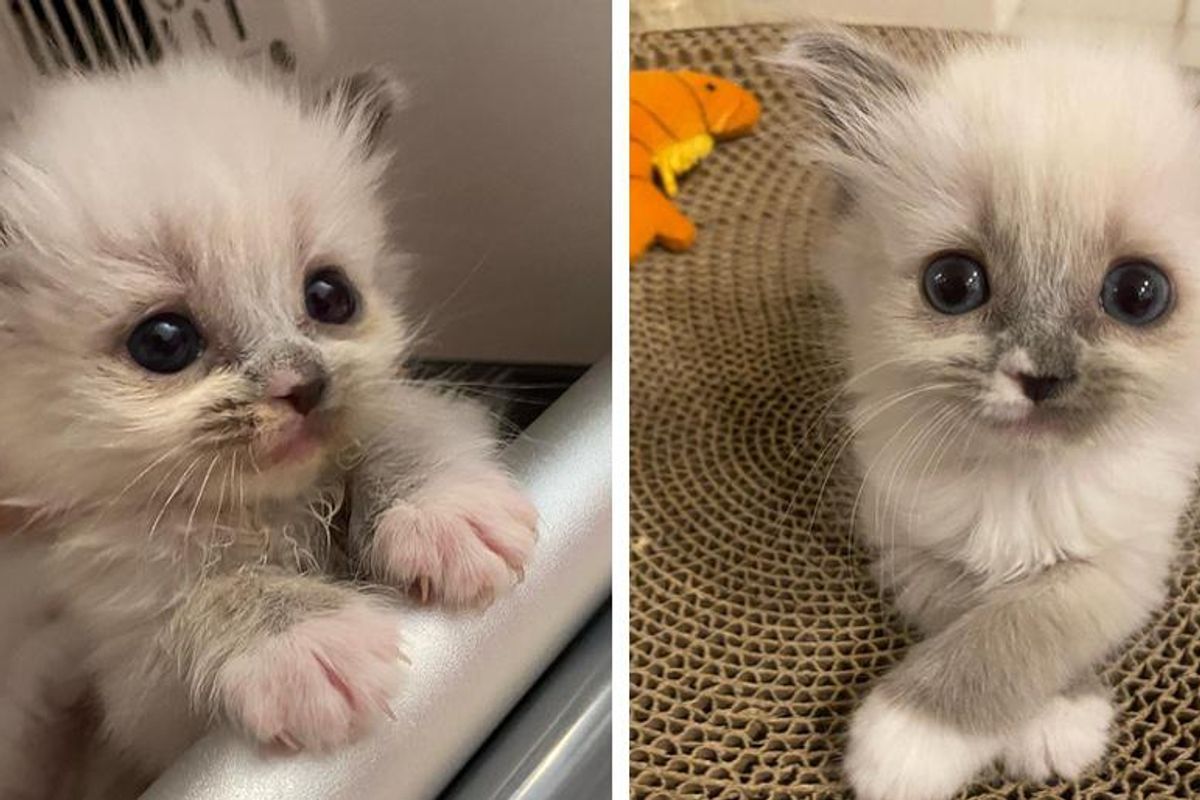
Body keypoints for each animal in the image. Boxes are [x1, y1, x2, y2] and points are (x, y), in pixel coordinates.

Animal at [0, 57, 537, 796]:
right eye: (163, 341)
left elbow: (401, 424)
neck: (269, 512)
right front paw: (305, 646)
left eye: (330, 296)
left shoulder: (395, 405)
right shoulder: (139, 693)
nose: (304, 388)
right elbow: (206, 596)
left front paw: (447, 519)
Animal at [777, 26, 1200, 800]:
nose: (1039, 376)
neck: (1021, 485)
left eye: (1139, 293)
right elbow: (975, 616)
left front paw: (912, 743)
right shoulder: (914, 543)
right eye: (953, 285)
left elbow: (1026, 625)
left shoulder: (1128, 557)